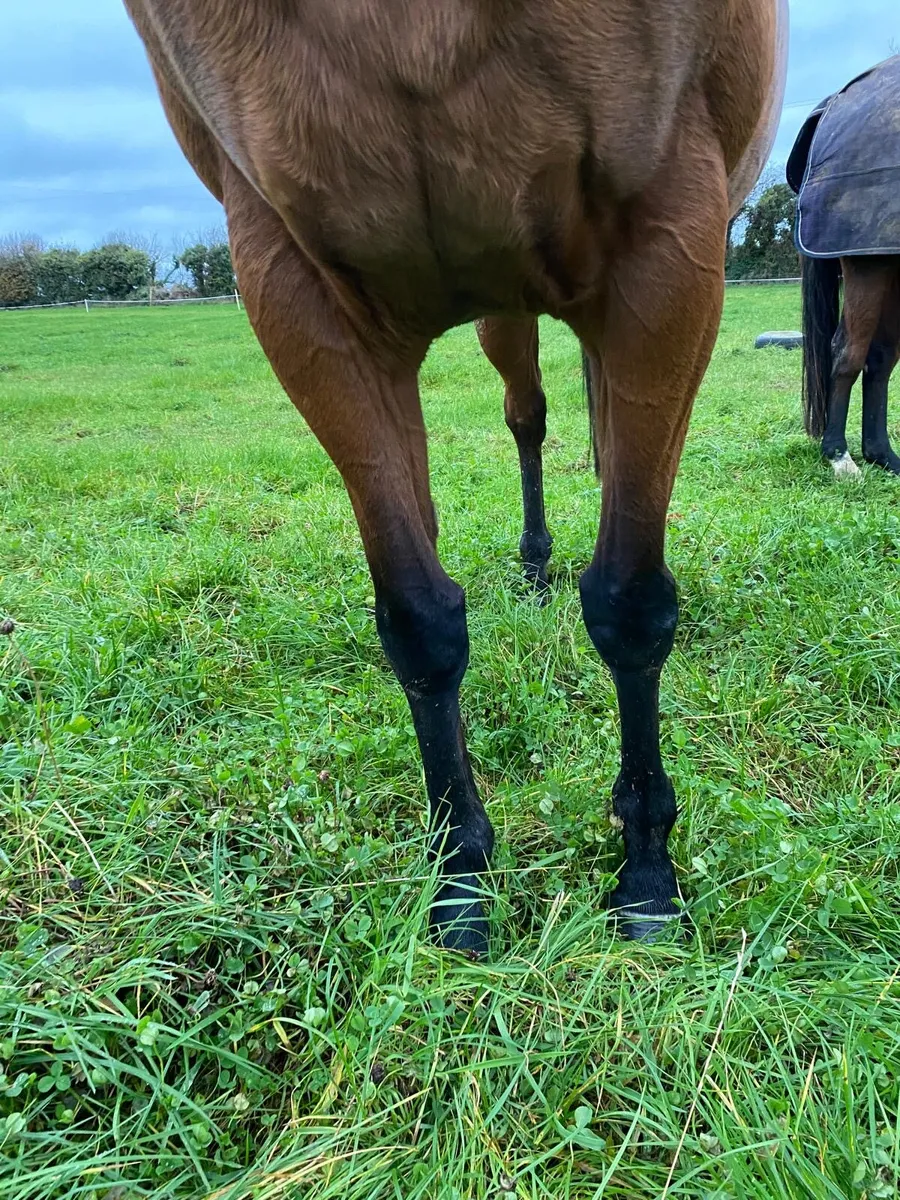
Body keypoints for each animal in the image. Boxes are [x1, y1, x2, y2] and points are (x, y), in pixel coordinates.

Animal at [122, 0, 787, 954]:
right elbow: (419, 619)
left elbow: (630, 600)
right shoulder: (294, 282)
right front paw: (462, 878)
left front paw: (646, 872)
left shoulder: (672, 248)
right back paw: (537, 563)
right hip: (501, 307)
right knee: (529, 417)